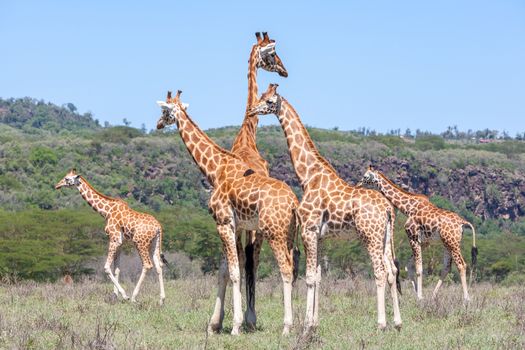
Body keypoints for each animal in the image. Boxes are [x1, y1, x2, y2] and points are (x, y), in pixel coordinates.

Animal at [155, 91, 298, 336]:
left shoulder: (222, 222)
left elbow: (233, 272)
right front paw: (216, 324)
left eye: (164, 111)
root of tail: (293, 203)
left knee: (286, 269)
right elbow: (226, 270)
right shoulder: (233, 225)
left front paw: (235, 326)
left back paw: (287, 327)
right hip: (288, 234)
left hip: (274, 233)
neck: (215, 169)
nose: (158, 124)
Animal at [248, 84, 404, 330]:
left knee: (379, 272)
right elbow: (319, 276)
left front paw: (305, 325)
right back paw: (397, 322)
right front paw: (314, 322)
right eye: (262, 96)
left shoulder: (308, 230)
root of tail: (388, 209)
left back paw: (381, 323)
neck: (307, 175)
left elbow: (310, 277)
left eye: (270, 101)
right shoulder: (320, 236)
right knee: (392, 271)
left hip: (370, 235)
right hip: (386, 237)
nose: (252, 110)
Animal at [358, 165, 476, 300]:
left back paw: (466, 298)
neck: (407, 208)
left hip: (453, 243)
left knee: (461, 265)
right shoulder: (424, 242)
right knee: (446, 268)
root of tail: (462, 222)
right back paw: (433, 296)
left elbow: (419, 268)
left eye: (365, 177)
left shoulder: (412, 236)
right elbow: (409, 265)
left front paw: (419, 296)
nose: (358, 185)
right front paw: (416, 293)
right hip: (447, 243)